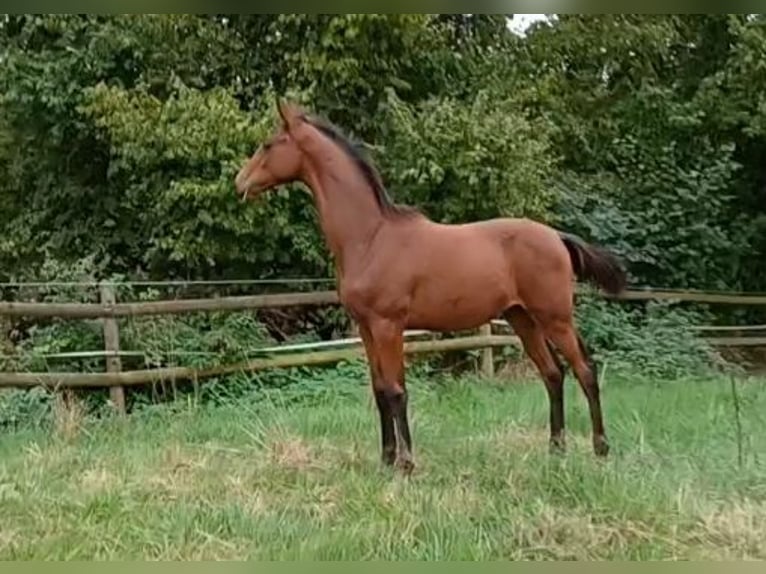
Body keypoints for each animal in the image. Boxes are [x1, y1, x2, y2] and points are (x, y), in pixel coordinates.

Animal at [234, 100, 627, 474]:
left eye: (268, 144)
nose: (240, 183)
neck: (371, 238)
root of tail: (556, 237)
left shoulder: (388, 326)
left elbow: (397, 392)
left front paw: (406, 465)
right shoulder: (366, 329)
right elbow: (379, 391)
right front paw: (386, 461)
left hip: (555, 318)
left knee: (585, 370)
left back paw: (600, 449)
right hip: (522, 319)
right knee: (552, 374)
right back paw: (555, 450)